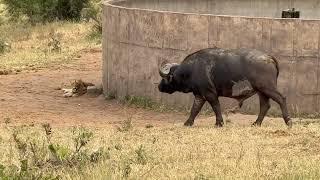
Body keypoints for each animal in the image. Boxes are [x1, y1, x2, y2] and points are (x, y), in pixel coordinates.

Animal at [158, 47, 292, 127]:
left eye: (165, 78)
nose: (159, 86)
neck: (192, 69)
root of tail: (269, 57)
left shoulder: (210, 93)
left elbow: (216, 107)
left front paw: (219, 123)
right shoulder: (199, 95)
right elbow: (194, 109)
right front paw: (188, 123)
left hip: (267, 88)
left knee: (281, 99)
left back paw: (288, 121)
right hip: (261, 91)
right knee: (265, 105)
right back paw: (256, 123)